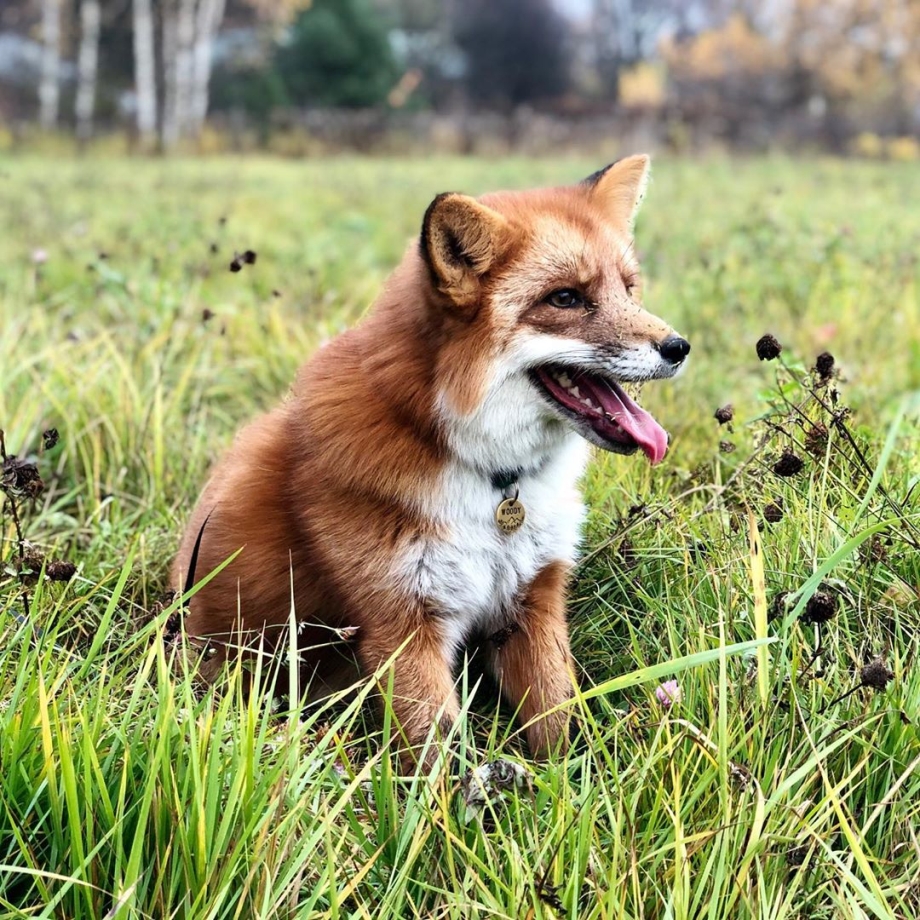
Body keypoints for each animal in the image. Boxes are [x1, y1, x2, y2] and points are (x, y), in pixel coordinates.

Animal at [171, 155, 690, 769]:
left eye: (629, 289)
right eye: (565, 299)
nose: (679, 348)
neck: (495, 484)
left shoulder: (531, 604)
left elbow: (555, 726)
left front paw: (560, 785)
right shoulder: (402, 627)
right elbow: (438, 760)